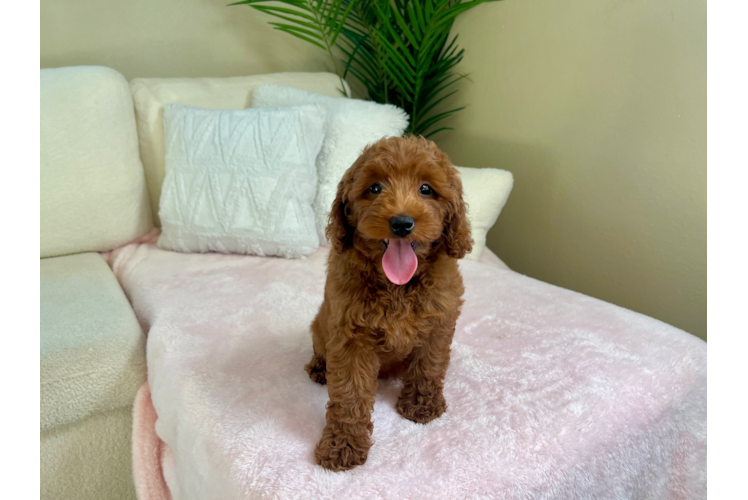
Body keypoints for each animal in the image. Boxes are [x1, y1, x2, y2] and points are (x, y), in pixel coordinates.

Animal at [306, 135, 474, 470]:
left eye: (426, 189)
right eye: (375, 188)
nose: (401, 223)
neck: (397, 285)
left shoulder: (439, 322)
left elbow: (429, 366)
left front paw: (422, 406)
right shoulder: (351, 337)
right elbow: (350, 394)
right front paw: (343, 446)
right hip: (320, 326)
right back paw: (319, 368)